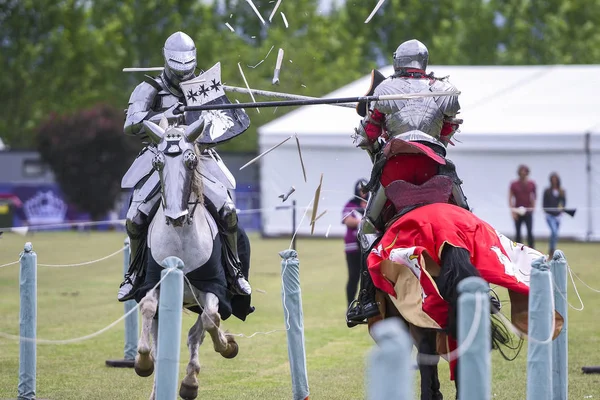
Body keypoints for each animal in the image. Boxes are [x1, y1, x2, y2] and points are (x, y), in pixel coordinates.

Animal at [135, 116, 240, 400]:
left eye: (191, 161)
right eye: (157, 162)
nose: (176, 217)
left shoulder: (212, 288)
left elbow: (211, 319)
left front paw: (227, 345)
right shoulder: (154, 283)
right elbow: (147, 308)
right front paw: (143, 362)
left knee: (197, 332)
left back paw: (190, 381)